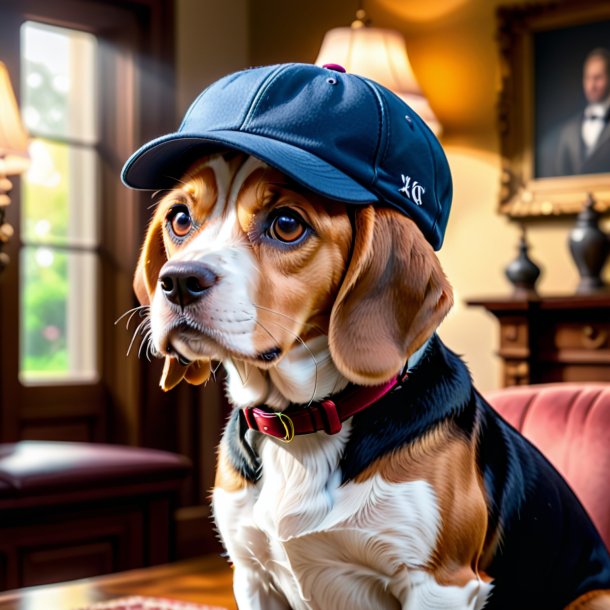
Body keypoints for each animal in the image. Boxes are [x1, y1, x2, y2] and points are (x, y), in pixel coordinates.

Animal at [131, 151, 608, 608]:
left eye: (287, 224)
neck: (302, 423)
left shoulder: (441, 584)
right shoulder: (252, 576)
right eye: (179, 219)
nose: (178, 282)